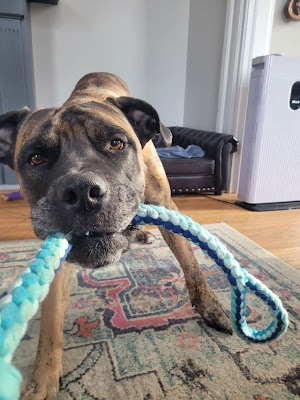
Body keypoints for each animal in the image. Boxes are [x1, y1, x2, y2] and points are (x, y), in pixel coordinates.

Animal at [0, 72, 232, 400]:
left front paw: (210, 306)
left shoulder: (167, 205)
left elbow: (191, 263)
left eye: (115, 143)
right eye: (35, 158)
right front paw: (42, 381)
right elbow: (50, 325)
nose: (81, 190)